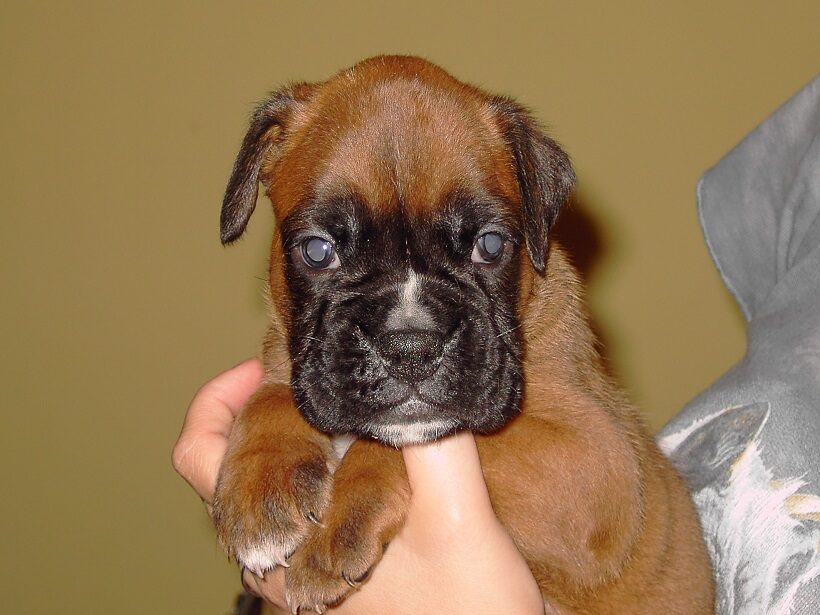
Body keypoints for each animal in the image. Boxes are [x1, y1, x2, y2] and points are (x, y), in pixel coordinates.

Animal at [213, 55, 716, 612]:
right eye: (318, 250)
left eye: (490, 245)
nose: (411, 346)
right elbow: (271, 398)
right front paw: (261, 488)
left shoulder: (593, 460)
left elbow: (407, 445)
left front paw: (336, 530)